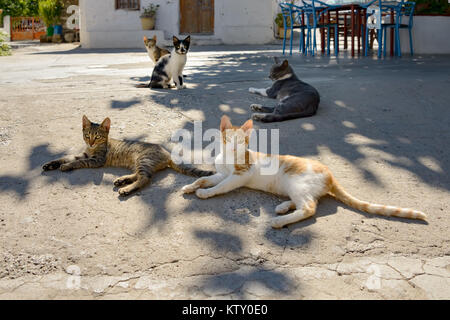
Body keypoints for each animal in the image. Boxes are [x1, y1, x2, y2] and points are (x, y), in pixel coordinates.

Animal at [42, 115, 213, 195]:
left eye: (97, 137)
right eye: (87, 135)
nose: (90, 143)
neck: (92, 149)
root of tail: (167, 152)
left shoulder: (97, 160)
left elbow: (77, 162)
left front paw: (66, 166)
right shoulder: (84, 153)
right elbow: (67, 157)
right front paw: (51, 164)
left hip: (143, 160)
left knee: (145, 178)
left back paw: (126, 189)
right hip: (139, 162)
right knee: (138, 175)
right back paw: (122, 180)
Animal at [181, 116, 428, 229]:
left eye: (242, 142)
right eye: (228, 139)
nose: (233, 147)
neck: (228, 159)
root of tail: (330, 173)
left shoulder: (239, 176)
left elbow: (220, 186)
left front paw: (206, 193)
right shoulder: (222, 173)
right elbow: (205, 178)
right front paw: (190, 186)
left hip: (297, 182)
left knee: (310, 208)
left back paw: (279, 220)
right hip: (297, 187)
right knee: (308, 202)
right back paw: (283, 207)